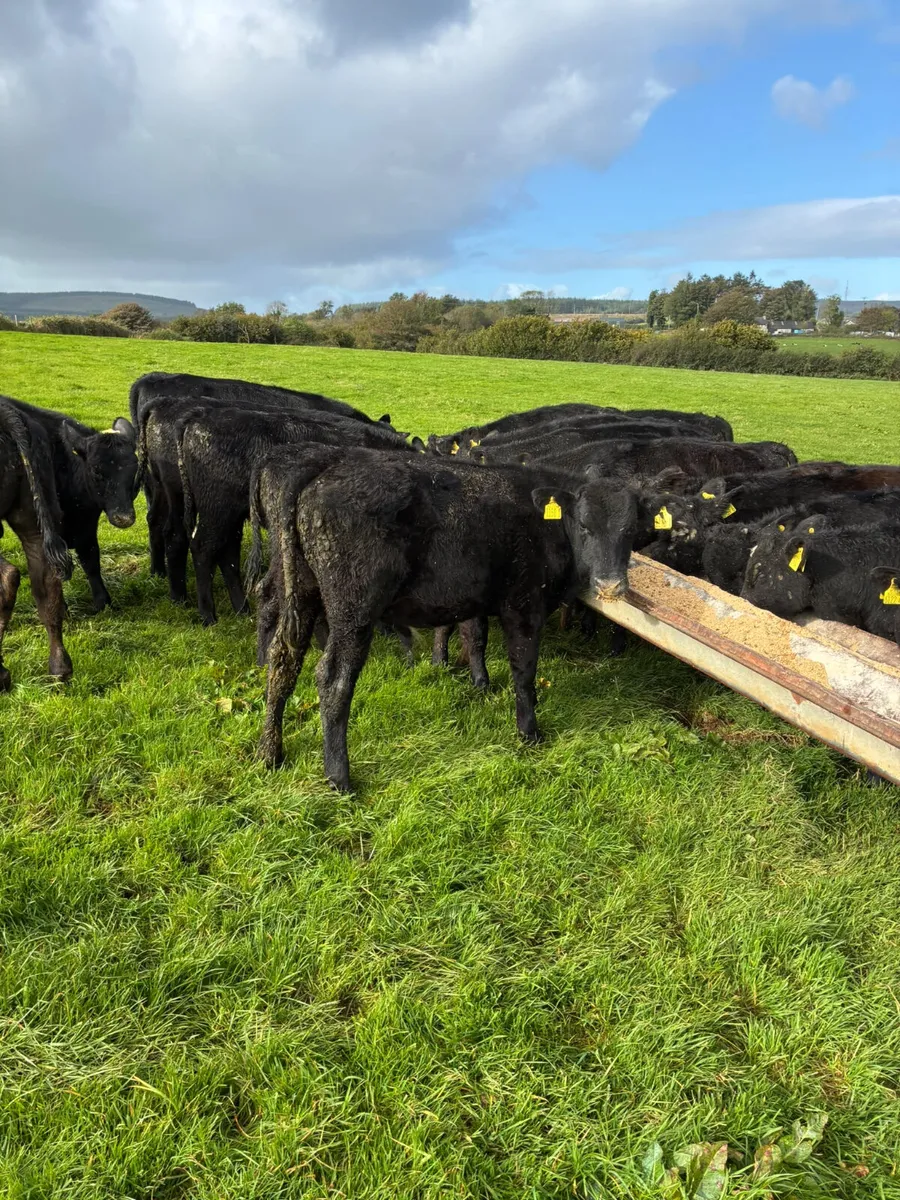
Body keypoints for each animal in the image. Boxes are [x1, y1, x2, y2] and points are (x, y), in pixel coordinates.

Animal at [255, 450, 649, 790]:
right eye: (584, 525)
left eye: (631, 530)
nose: (611, 584)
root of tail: (324, 465)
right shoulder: (524, 605)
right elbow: (524, 671)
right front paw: (529, 733)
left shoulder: (475, 598)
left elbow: (475, 637)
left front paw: (481, 684)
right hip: (353, 608)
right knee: (333, 678)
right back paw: (339, 777)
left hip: (301, 590)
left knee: (282, 661)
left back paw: (269, 753)